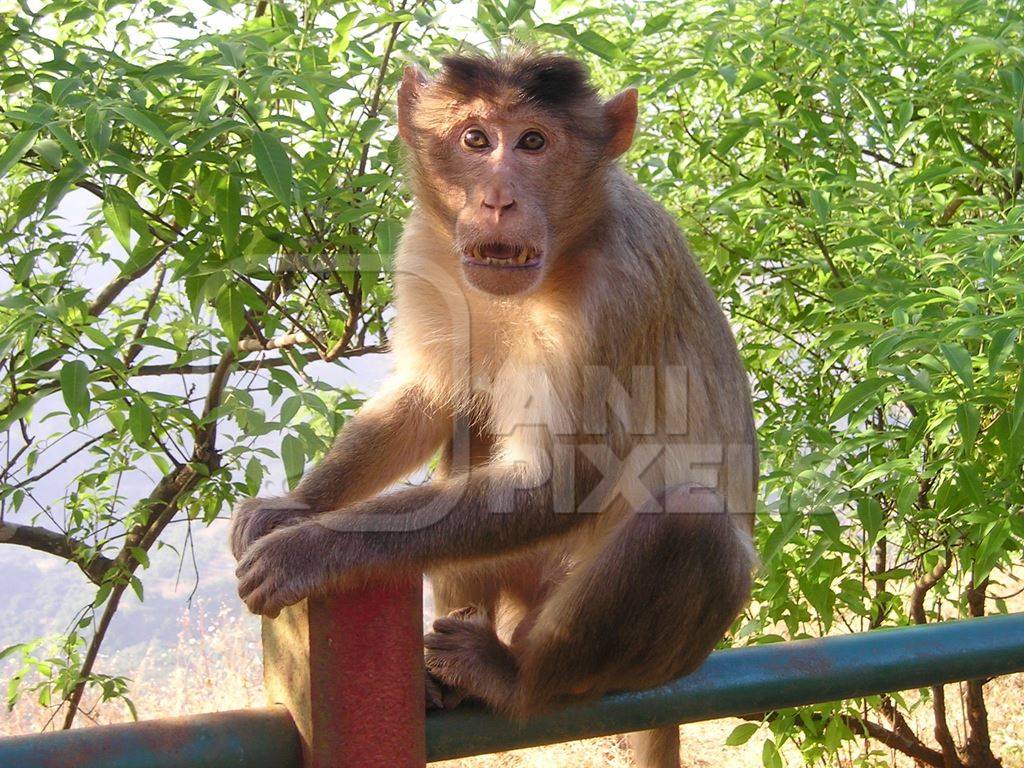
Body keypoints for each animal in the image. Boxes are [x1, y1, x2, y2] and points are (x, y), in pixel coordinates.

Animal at [234, 51, 761, 765]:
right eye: (476, 140)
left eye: (534, 142)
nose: (497, 199)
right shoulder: (423, 251)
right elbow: (427, 398)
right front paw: (292, 508)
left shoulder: (615, 289)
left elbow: (565, 479)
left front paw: (310, 549)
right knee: (471, 422)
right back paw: (448, 676)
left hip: (651, 651)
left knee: (689, 520)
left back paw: (514, 679)